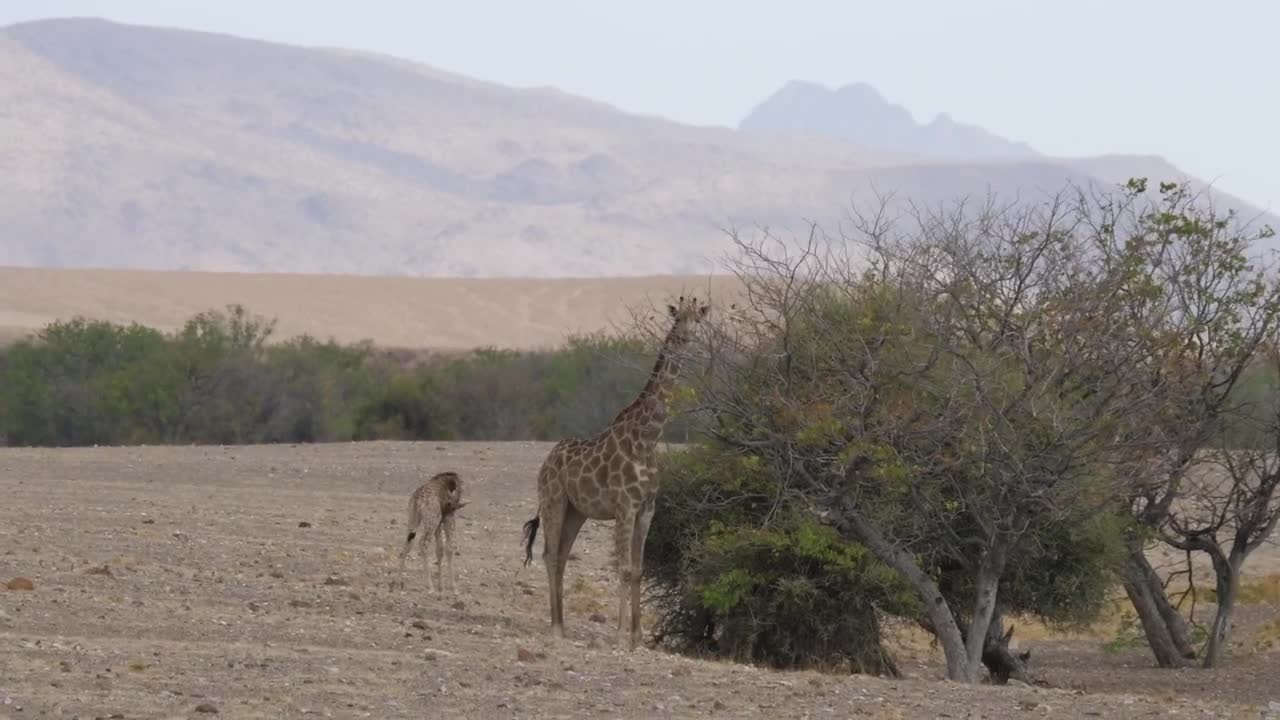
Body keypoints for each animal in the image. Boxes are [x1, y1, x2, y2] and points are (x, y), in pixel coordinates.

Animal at [520, 295, 710, 649]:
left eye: (698, 320)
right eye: (678, 319)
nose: (688, 337)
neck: (649, 438)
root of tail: (545, 464)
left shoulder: (647, 508)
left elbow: (637, 569)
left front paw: (637, 637)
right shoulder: (625, 506)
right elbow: (622, 568)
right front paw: (621, 634)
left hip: (576, 512)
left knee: (562, 555)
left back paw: (562, 623)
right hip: (554, 502)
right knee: (550, 555)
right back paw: (555, 627)